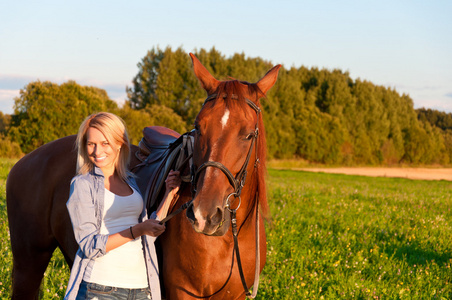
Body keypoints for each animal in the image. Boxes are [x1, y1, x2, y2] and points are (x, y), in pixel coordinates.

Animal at [7, 52, 280, 298]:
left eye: (248, 134)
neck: (227, 243)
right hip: (28, 265)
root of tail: (25, 161)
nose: (205, 215)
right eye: (198, 127)